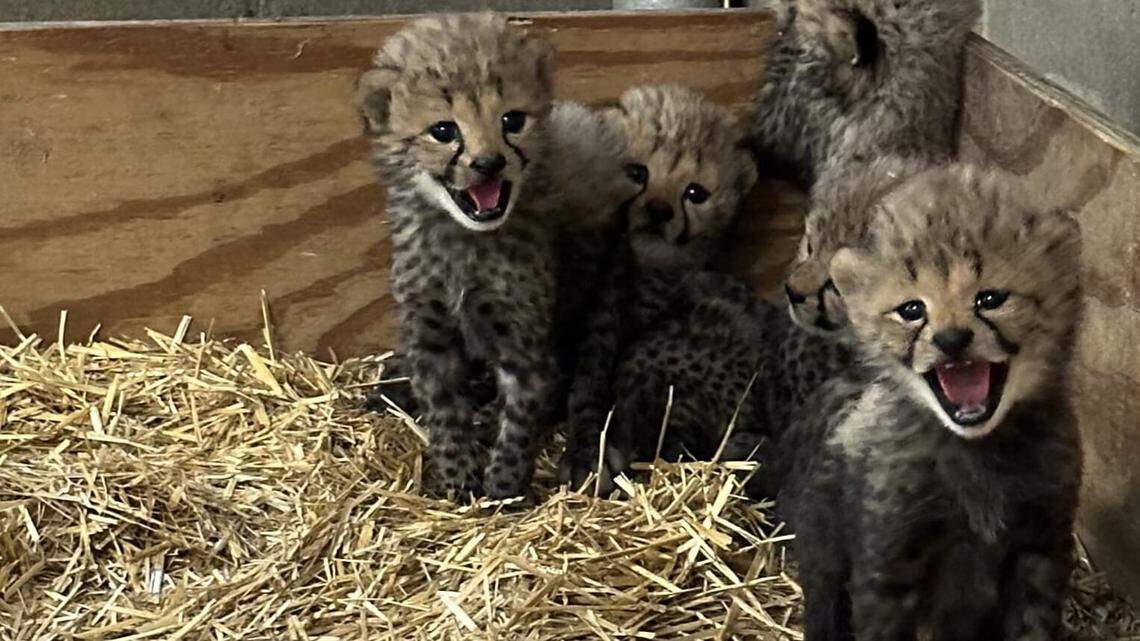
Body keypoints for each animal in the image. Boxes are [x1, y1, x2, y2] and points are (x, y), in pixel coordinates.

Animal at [356, 14, 631, 500]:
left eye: (512, 120)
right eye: (443, 130)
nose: (488, 163)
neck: (464, 241)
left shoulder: (524, 342)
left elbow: (522, 416)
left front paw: (504, 490)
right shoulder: (432, 335)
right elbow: (445, 413)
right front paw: (459, 479)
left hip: (603, 296)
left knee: (587, 383)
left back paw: (583, 452)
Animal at [772, 164, 1083, 641]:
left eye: (990, 299)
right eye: (912, 310)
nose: (952, 340)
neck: (977, 449)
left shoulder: (1040, 548)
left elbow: (1033, 625)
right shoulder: (888, 564)